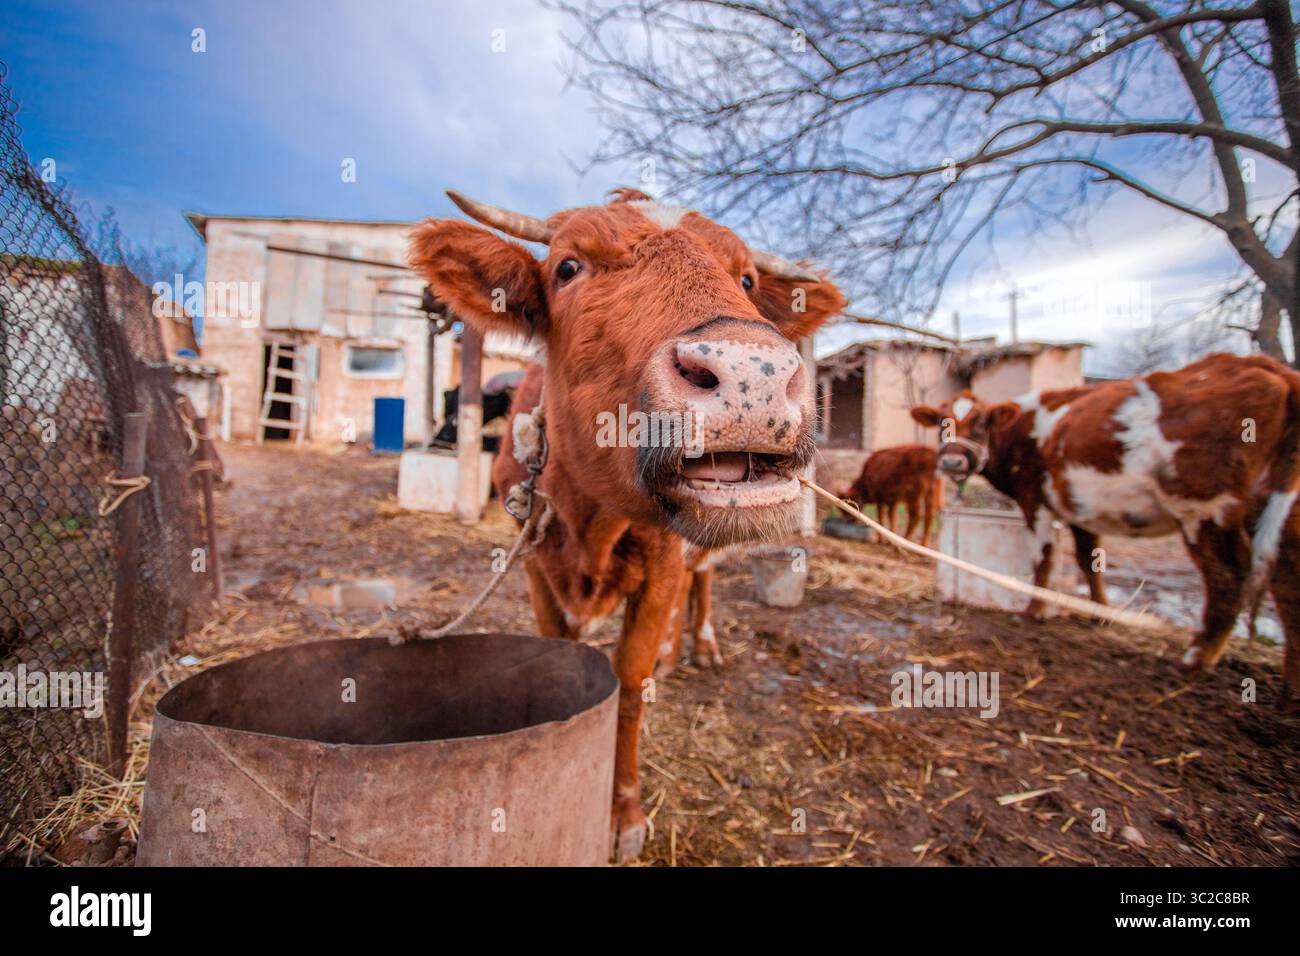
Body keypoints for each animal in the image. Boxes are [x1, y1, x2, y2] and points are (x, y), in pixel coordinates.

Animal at [409, 188, 846, 859]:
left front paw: (622, 812)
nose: (754, 375)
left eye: (746, 278)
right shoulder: (535, 567)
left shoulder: (662, 564)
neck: (592, 519)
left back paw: (700, 644)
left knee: (703, 579)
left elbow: (631, 684)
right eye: (567, 267)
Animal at [909, 353, 1300, 707]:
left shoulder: (1034, 495)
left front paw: (1033, 610)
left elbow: (1045, 555)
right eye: (941, 422)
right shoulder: (1076, 505)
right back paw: (1289, 689)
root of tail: (1269, 367)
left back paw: (1196, 658)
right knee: (1285, 578)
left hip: (1203, 504)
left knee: (1228, 576)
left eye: (980, 422)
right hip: (1272, 503)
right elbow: (1088, 560)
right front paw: (1101, 614)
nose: (952, 462)